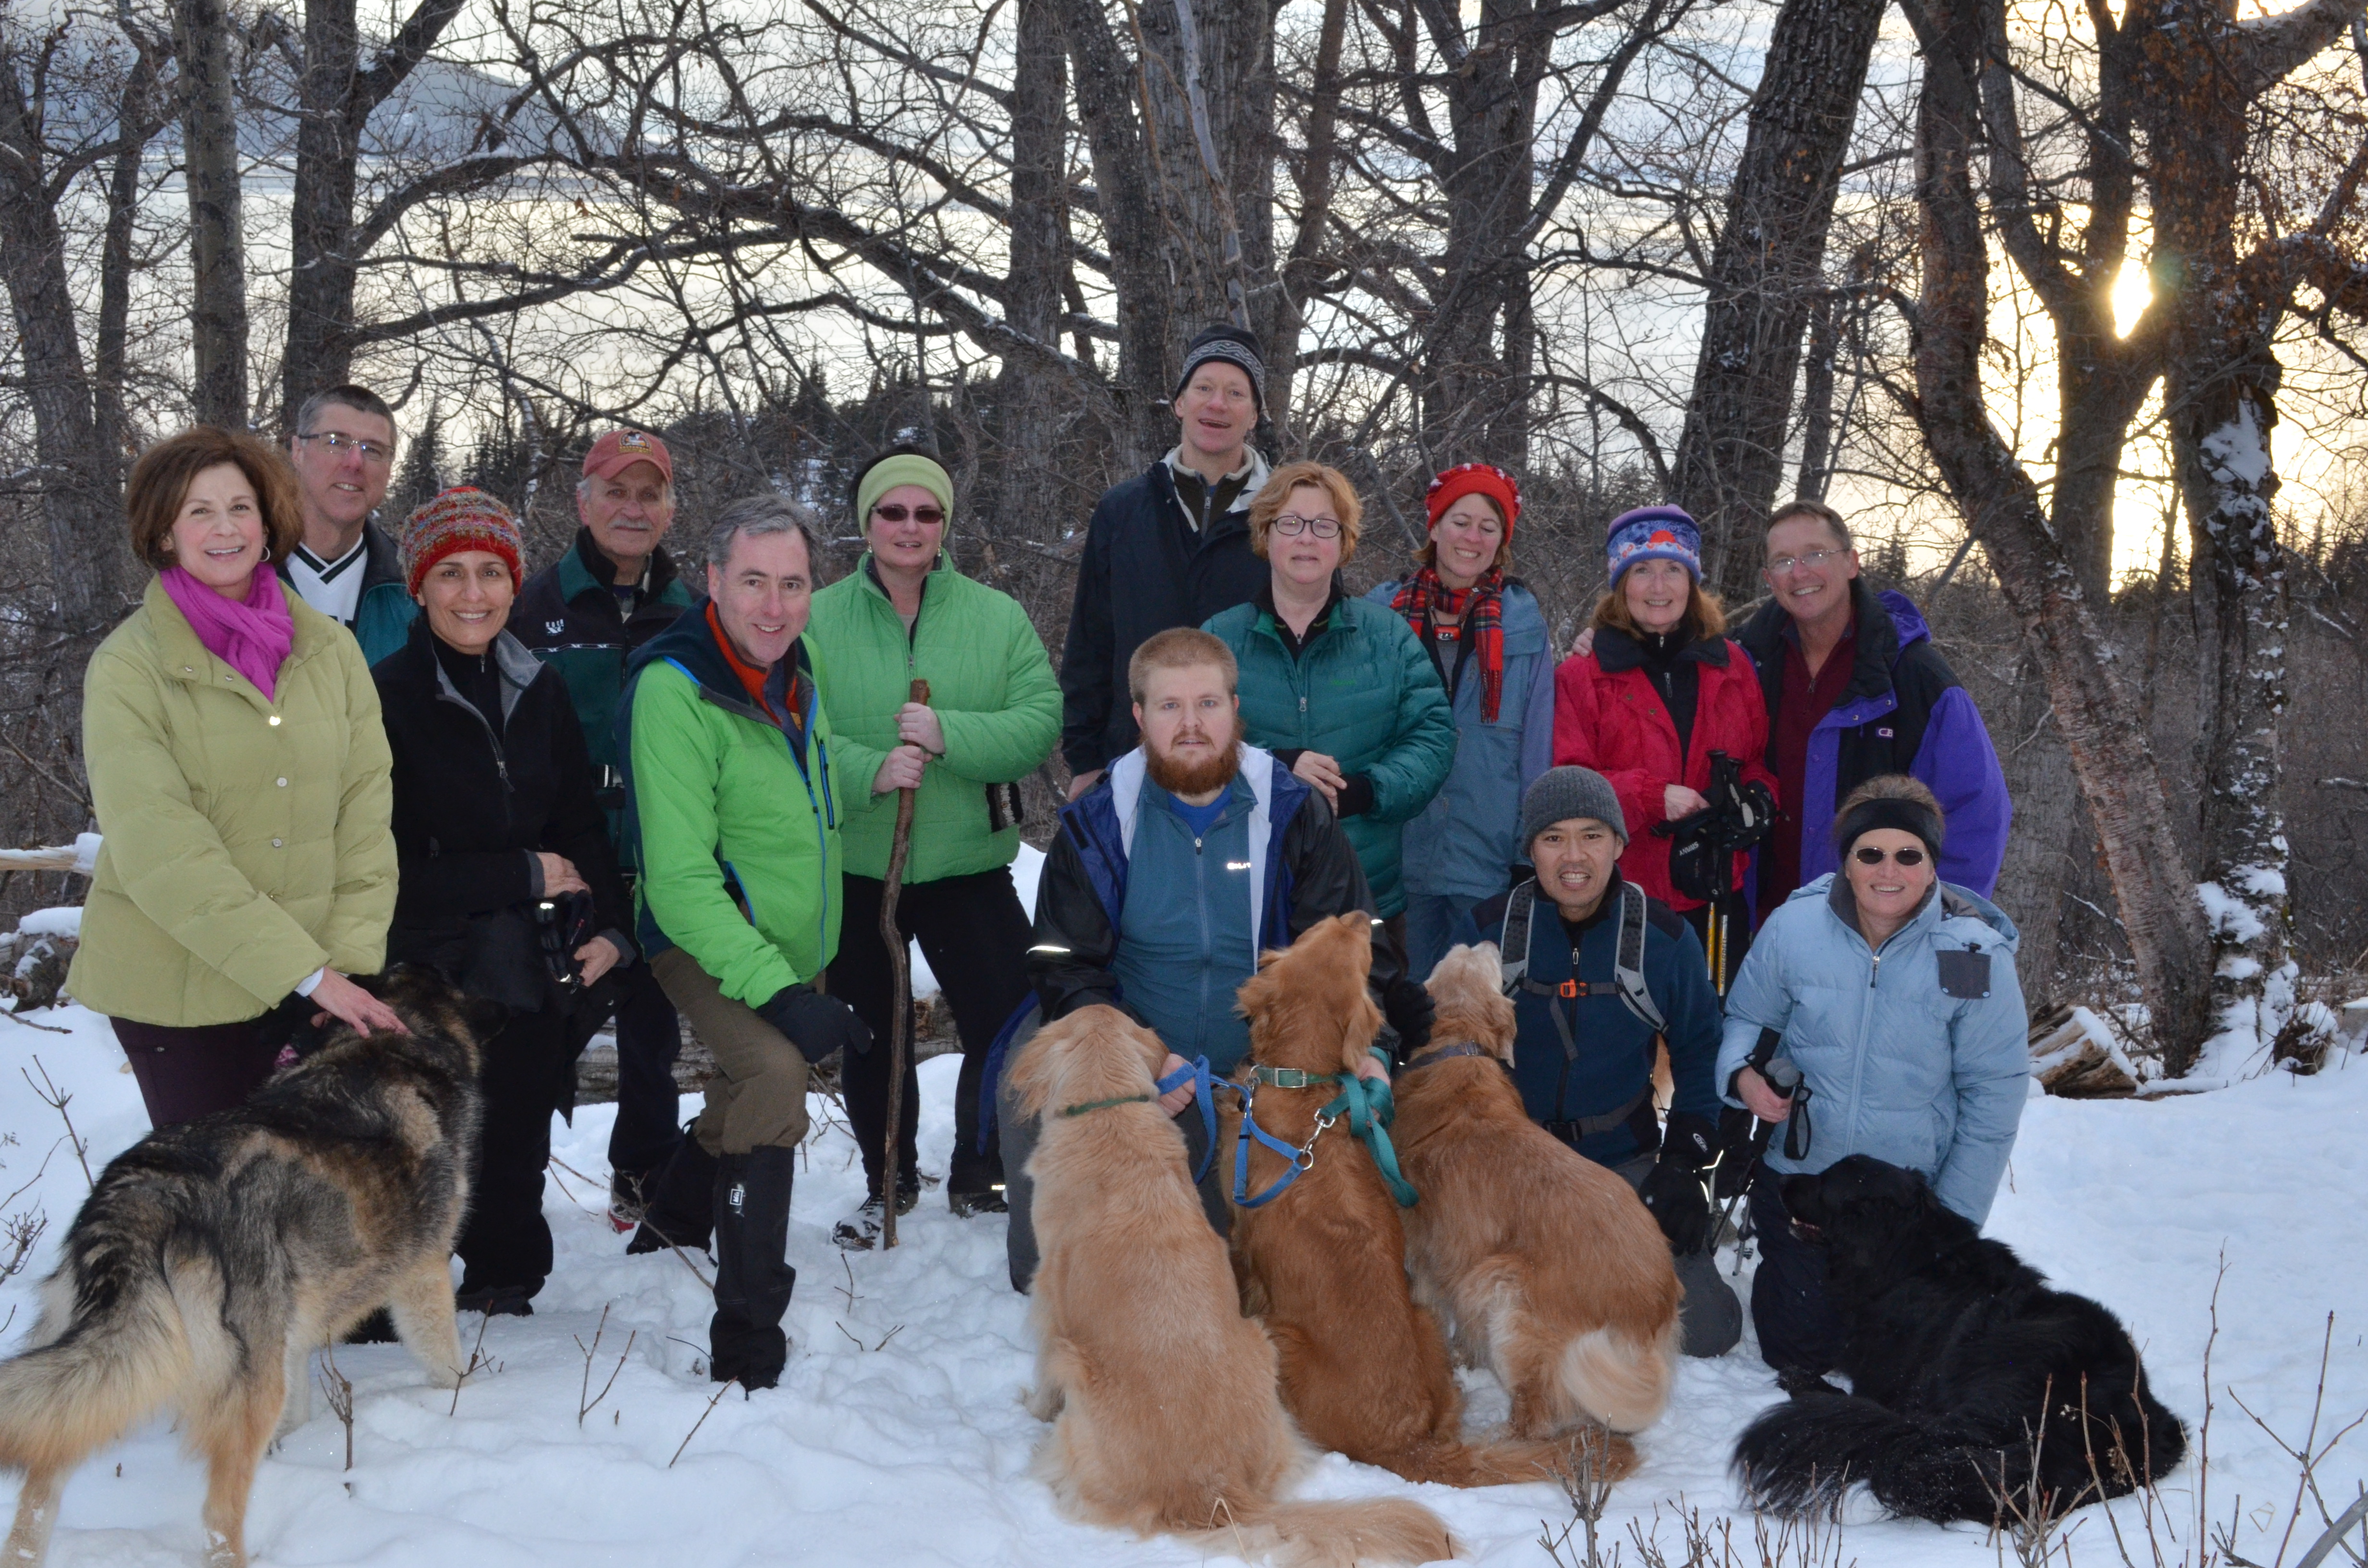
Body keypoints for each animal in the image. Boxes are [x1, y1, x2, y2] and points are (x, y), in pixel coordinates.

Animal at [0, 967, 493, 1567]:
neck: (392, 1046)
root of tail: (144, 1193)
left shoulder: (294, 1334)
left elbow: (300, 1410)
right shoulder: (423, 1273)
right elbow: (448, 1367)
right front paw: (463, 1408)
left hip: (100, 1377)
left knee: (37, 1494)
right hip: (245, 1391)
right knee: (217, 1517)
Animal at [1009, 1004, 1453, 1567]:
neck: (1111, 1109)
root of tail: (1217, 1493)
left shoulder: (1047, 1302)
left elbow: (1042, 1373)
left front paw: (1031, 1406)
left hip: (1080, 1379)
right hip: (1263, 1343)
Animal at [1228, 914, 1593, 1489]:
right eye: (1331, 930)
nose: (1363, 917)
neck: (1304, 1087)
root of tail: (1408, 1441)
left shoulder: (1240, 1237)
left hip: (1278, 1337)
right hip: (1424, 1315)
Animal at [1392, 943, 1679, 1439]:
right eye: (1466, 953)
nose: (1488, 943)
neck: (1456, 1049)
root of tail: (1650, 1301)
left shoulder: (1427, 1252)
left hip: (1506, 1294)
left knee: (1536, 1413)